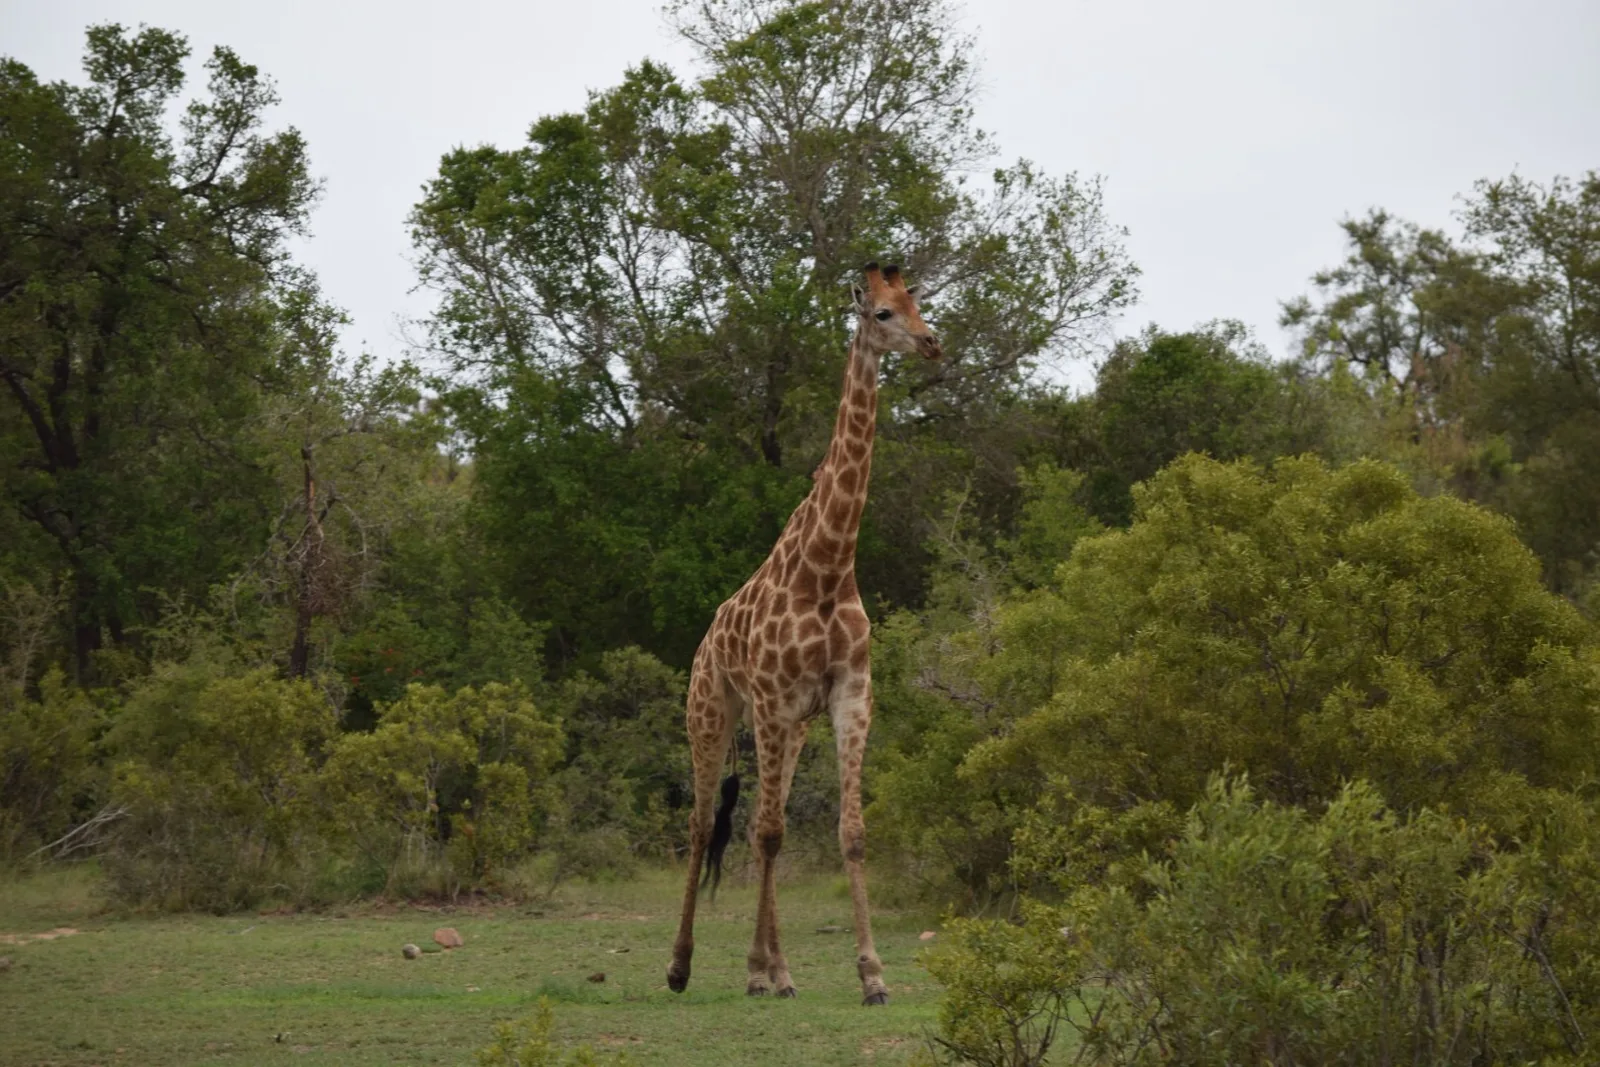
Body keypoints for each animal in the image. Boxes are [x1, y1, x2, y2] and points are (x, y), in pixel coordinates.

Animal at [666, 262, 941, 1006]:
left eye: (917, 304)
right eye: (881, 313)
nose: (931, 344)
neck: (829, 565)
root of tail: (705, 640)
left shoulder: (849, 696)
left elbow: (848, 832)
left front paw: (871, 974)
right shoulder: (773, 701)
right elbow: (765, 832)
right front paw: (776, 969)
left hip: (786, 727)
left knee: (763, 826)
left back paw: (761, 969)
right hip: (714, 710)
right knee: (705, 824)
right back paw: (682, 966)